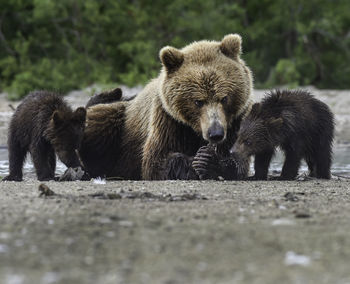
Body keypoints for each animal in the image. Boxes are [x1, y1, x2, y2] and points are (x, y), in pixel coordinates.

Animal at [80, 33, 254, 180]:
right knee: (102, 120)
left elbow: (239, 160)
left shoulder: (236, 122)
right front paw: (197, 162)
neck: (194, 130)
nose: (215, 133)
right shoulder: (168, 120)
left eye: (224, 98)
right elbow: (156, 161)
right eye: (198, 101)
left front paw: (210, 161)